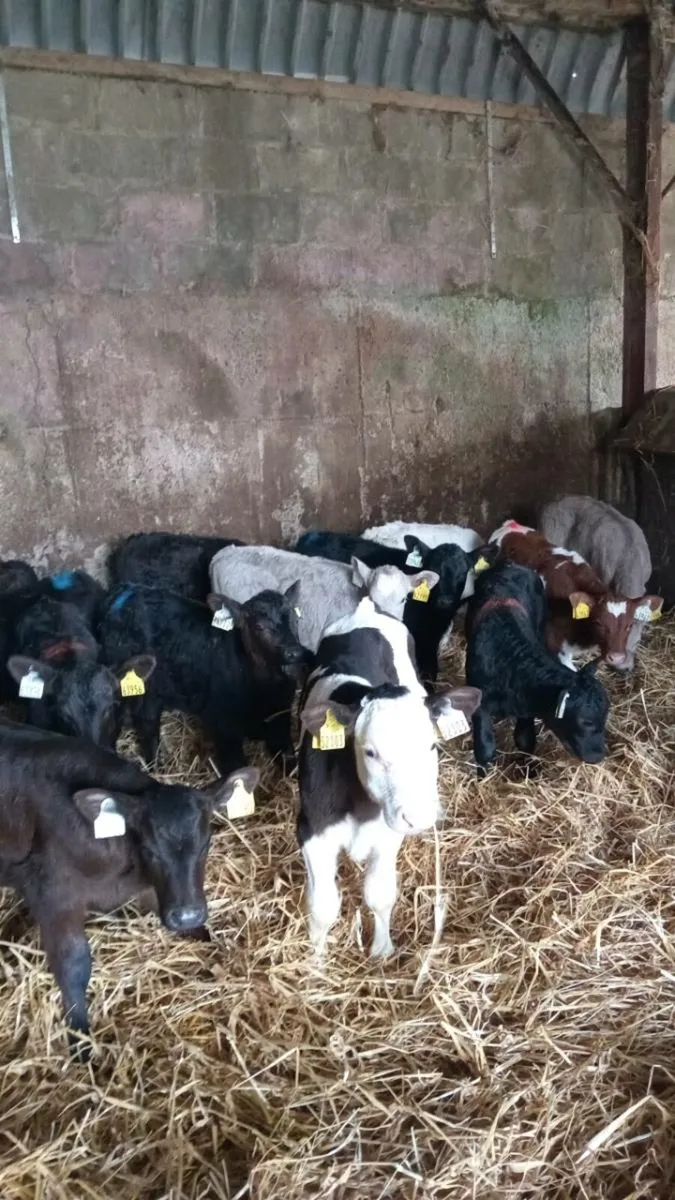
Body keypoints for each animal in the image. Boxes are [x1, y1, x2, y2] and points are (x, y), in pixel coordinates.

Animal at [0, 719, 258, 1058]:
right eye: (149, 848)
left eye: (206, 844)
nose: (187, 915)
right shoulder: (52, 893)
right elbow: (73, 964)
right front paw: (80, 1039)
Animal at [100, 582, 308, 772]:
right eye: (258, 626)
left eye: (296, 620)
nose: (294, 652)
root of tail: (128, 590)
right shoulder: (225, 728)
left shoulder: (280, 719)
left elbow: (291, 763)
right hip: (146, 688)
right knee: (148, 722)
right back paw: (156, 768)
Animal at [298, 597, 481, 957]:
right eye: (370, 752)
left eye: (431, 745)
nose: (417, 816)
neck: (359, 807)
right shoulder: (312, 831)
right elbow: (323, 906)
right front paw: (316, 960)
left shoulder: (388, 833)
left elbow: (379, 894)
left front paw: (382, 951)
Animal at [465, 560, 609, 776]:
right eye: (586, 721)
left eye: (605, 716)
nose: (598, 756)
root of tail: (510, 565)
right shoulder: (480, 702)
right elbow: (485, 748)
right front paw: (483, 776)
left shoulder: (527, 707)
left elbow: (525, 739)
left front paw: (528, 770)